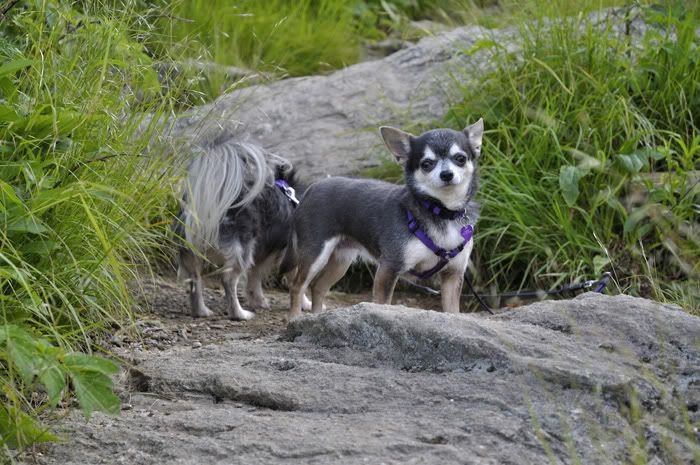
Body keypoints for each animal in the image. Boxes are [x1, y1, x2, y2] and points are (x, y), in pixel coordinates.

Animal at [174, 132, 308, 318]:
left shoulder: (260, 254)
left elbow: (254, 279)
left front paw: (258, 301)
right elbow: (297, 282)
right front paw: (306, 304)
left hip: (193, 252)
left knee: (195, 279)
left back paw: (202, 312)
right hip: (241, 247)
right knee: (228, 279)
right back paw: (239, 314)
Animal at [282, 118, 484, 320]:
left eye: (460, 158)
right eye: (426, 164)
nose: (447, 174)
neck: (440, 210)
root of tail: (311, 189)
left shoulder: (453, 275)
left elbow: (453, 312)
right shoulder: (388, 269)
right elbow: (382, 306)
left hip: (341, 261)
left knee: (318, 287)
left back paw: (316, 318)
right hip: (316, 255)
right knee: (297, 285)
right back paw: (294, 318)